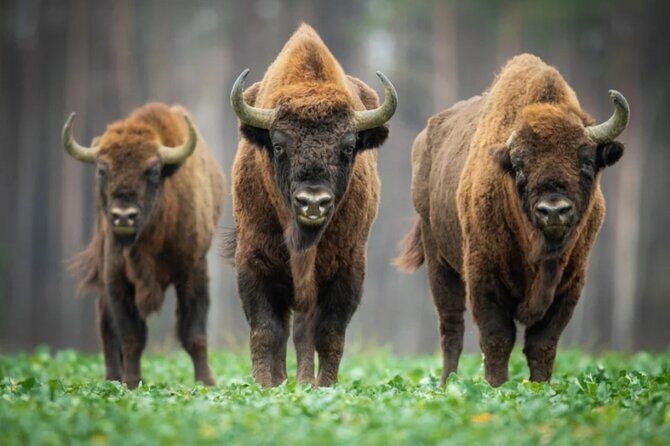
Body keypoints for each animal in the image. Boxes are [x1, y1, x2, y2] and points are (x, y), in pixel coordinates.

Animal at [64, 103, 225, 389]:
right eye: (102, 170)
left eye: (153, 171)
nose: (123, 216)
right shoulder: (117, 279)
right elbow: (131, 335)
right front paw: (131, 383)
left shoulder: (193, 272)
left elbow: (194, 334)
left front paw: (206, 382)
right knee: (106, 324)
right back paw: (112, 378)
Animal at [395, 54, 629, 386]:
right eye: (519, 166)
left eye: (586, 161)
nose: (553, 210)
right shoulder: (485, 277)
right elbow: (497, 338)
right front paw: (498, 388)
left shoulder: (570, 284)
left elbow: (543, 344)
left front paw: (540, 388)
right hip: (439, 260)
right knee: (451, 328)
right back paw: (446, 385)